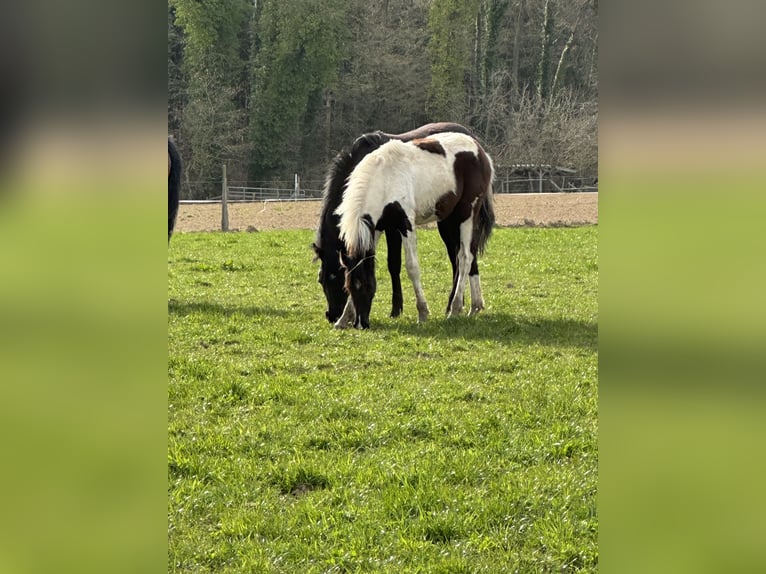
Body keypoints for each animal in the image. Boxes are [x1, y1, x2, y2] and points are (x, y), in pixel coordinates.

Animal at [313, 122, 479, 324]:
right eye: (321, 280)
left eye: (334, 277)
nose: (332, 315)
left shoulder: (393, 227)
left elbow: (394, 264)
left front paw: (396, 309)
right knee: (460, 257)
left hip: (454, 221)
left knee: (463, 257)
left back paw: (457, 305)